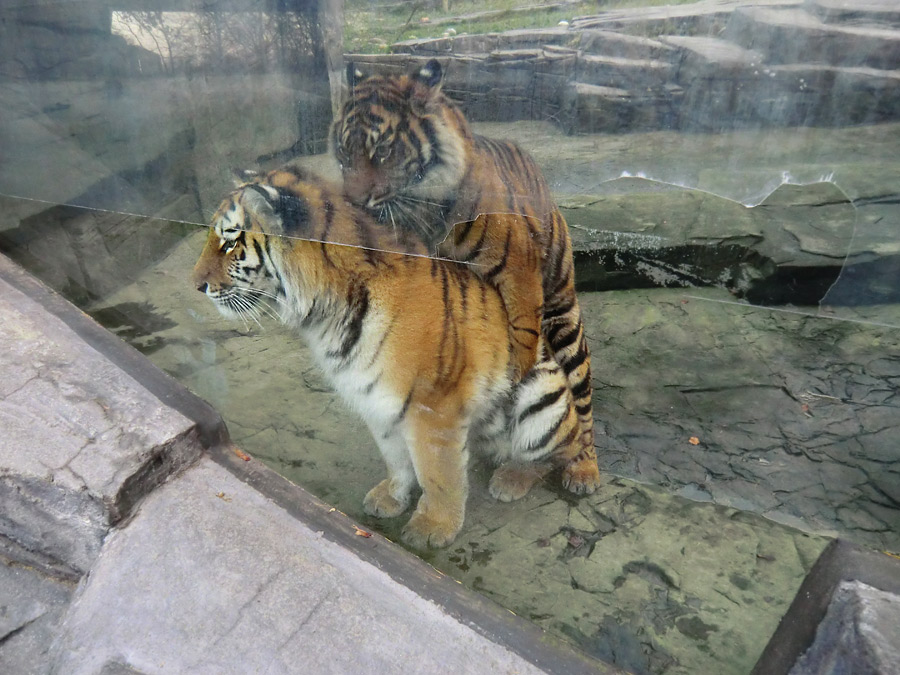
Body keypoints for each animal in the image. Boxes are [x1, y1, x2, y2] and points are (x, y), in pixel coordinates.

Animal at [191, 168, 584, 548]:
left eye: (230, 241)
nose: (196, 285)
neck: (324, 315)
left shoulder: (433, 405)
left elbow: (437, 472)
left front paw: (433, 527)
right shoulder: (375, 398)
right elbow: (396, 458)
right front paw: (392, 498)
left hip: (542, 393)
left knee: (562, 451)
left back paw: (512, 478)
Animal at [328, 58, 596, 496]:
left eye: (382, 151)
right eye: (342, 152)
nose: (354, 202)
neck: (422, 209)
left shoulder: (519, 279)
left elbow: (521, 354)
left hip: (564, 316)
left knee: (580, 408)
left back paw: (580, 470)